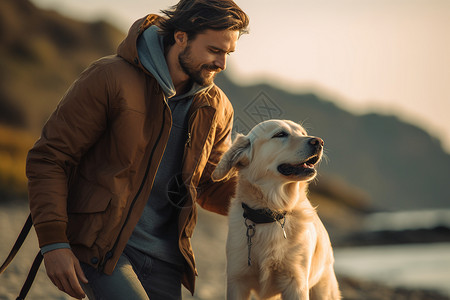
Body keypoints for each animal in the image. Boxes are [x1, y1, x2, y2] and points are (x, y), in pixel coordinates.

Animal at [213, 118, 340, 298]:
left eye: (303, 133)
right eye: (280, 134)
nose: (319, 142)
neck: (271, 213)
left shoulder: (296, 283)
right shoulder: (237, 279)